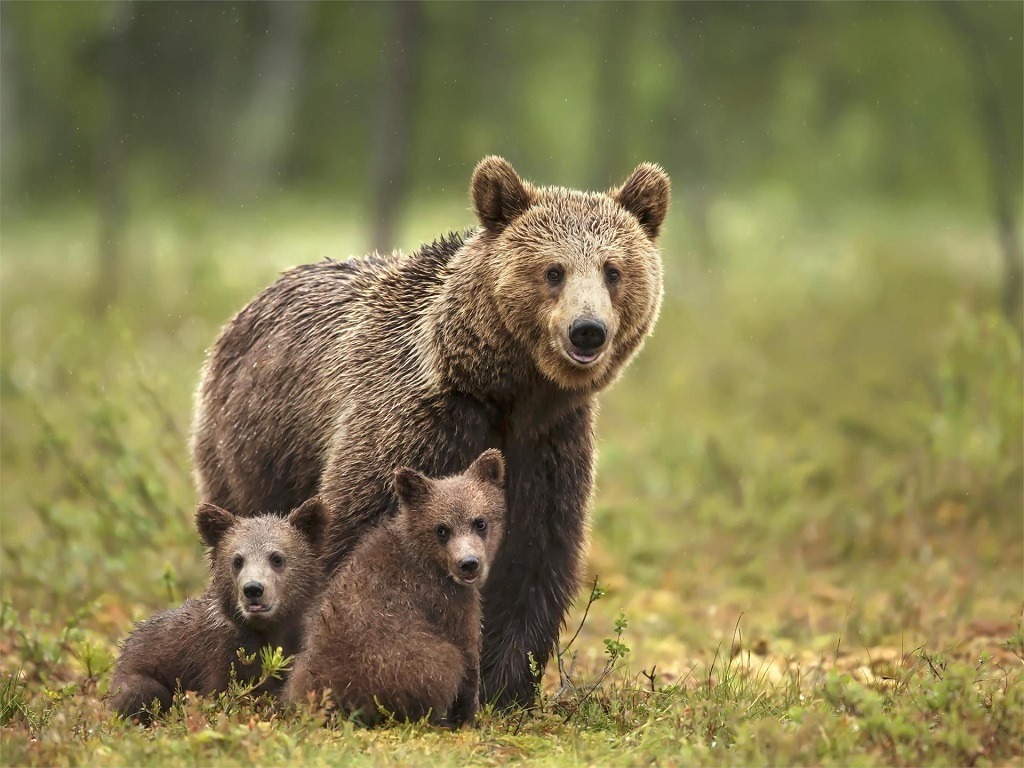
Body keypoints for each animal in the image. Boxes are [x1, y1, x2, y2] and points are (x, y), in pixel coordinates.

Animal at [192, 157, 671, 708]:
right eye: (554, 271)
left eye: (614, 271)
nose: (588, 330)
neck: (505, 391)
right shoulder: (413, 425)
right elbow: (354, 540)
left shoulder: (548, 445)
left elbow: (533, 558)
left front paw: (505, 686)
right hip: (252, 446)